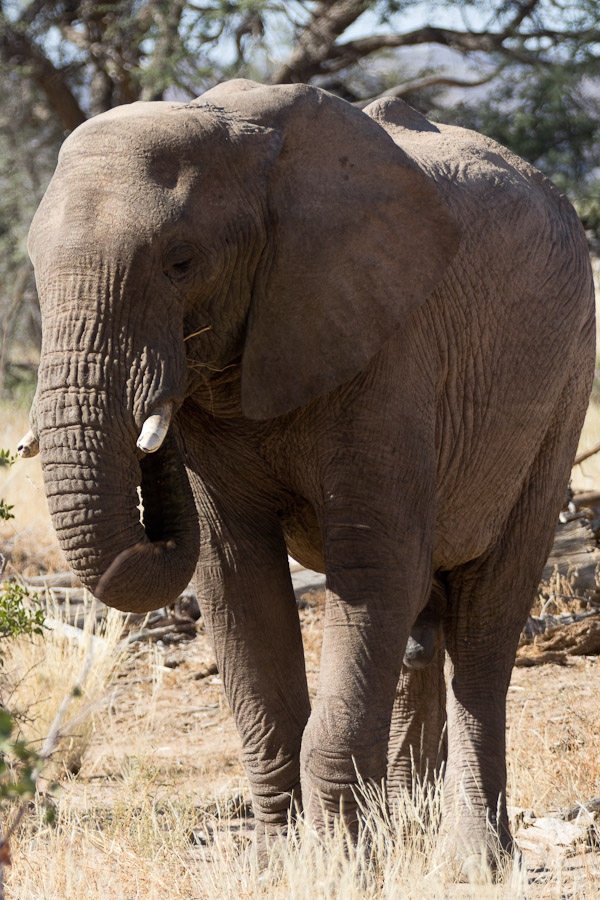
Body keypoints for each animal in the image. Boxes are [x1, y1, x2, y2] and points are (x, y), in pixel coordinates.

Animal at [19, 77, 596, 880]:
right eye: (33, 265)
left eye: (181, 262)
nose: (156, 402)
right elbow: (235, 578)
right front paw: (277, 866)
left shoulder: (388, 347)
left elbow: (372, 570)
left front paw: (340, 869)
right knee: (423, 622)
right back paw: (406, 830)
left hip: (563, 389)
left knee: (485, 626)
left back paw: (473, 863)